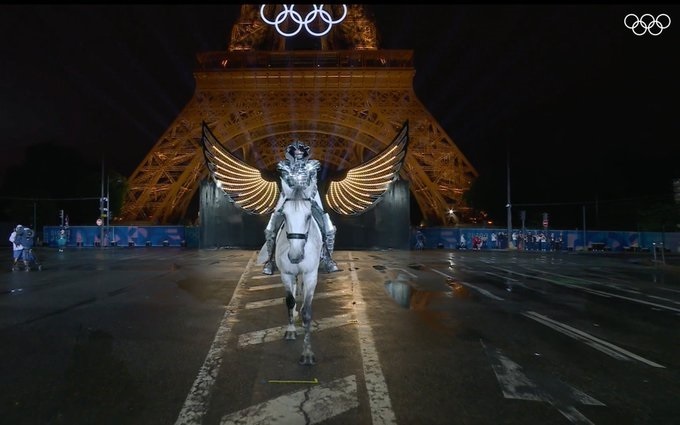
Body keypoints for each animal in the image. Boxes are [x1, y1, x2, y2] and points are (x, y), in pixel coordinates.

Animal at [274, 182, 322, 364]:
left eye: (308, 216)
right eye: (284, 216)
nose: (295, 256)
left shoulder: (310, 275)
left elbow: (307, 311)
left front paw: (307, 354)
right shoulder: (286, 274)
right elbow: (289, 301)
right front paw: (290, 330)